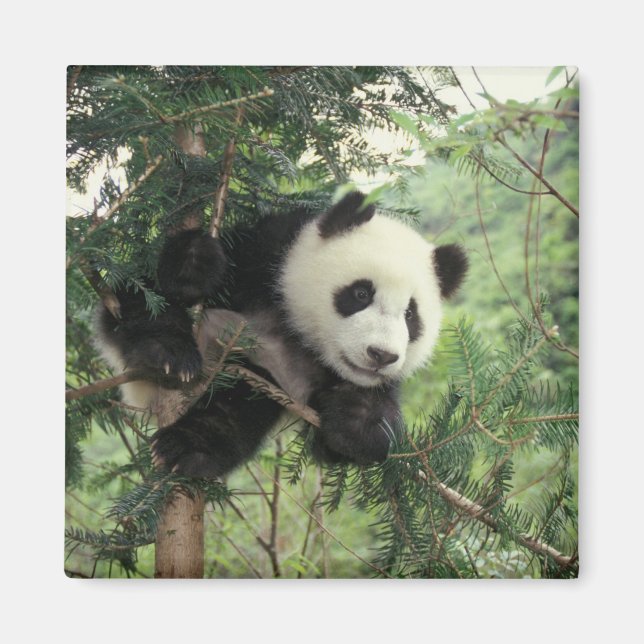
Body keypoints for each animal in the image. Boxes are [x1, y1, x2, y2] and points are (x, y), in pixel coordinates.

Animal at [95, 191, 467, 478]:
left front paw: (356, 418)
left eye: (410, 316)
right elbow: (158, 285)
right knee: (140, 301)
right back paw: (167, 357)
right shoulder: (267, 255)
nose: (381, 355)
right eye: (361, 294)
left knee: (240, 403)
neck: (296, 331)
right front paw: (195, 264)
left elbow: (351, 439)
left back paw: (189, 448)